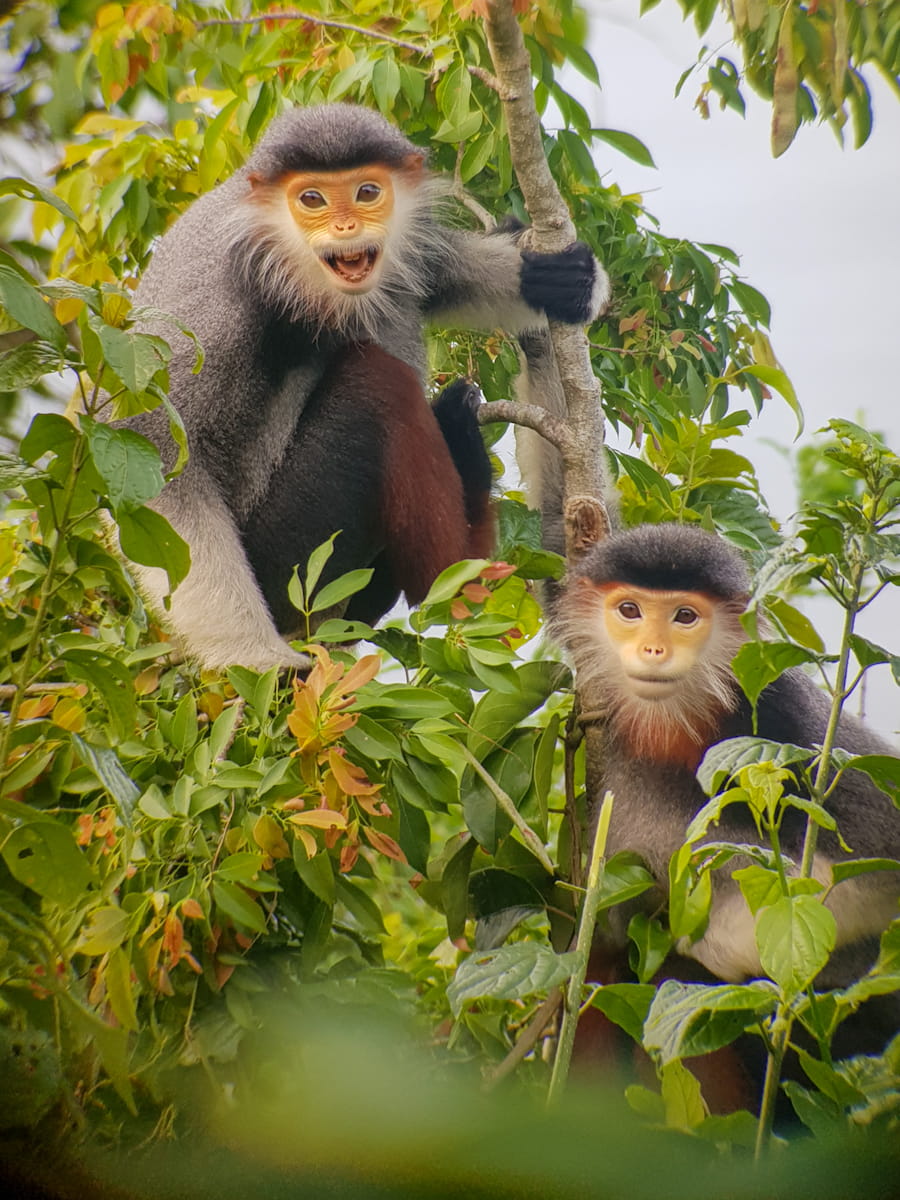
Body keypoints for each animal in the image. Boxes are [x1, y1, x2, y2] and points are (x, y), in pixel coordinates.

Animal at [119, 103, 610, 671]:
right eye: (311, 199)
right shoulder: (221, 303)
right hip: (292, 562)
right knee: (377, 384)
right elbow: (155, 452)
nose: (346, 225)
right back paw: (459, 568)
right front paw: (261, 662)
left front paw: (555, 278)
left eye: (367, 192)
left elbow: (445, 276)